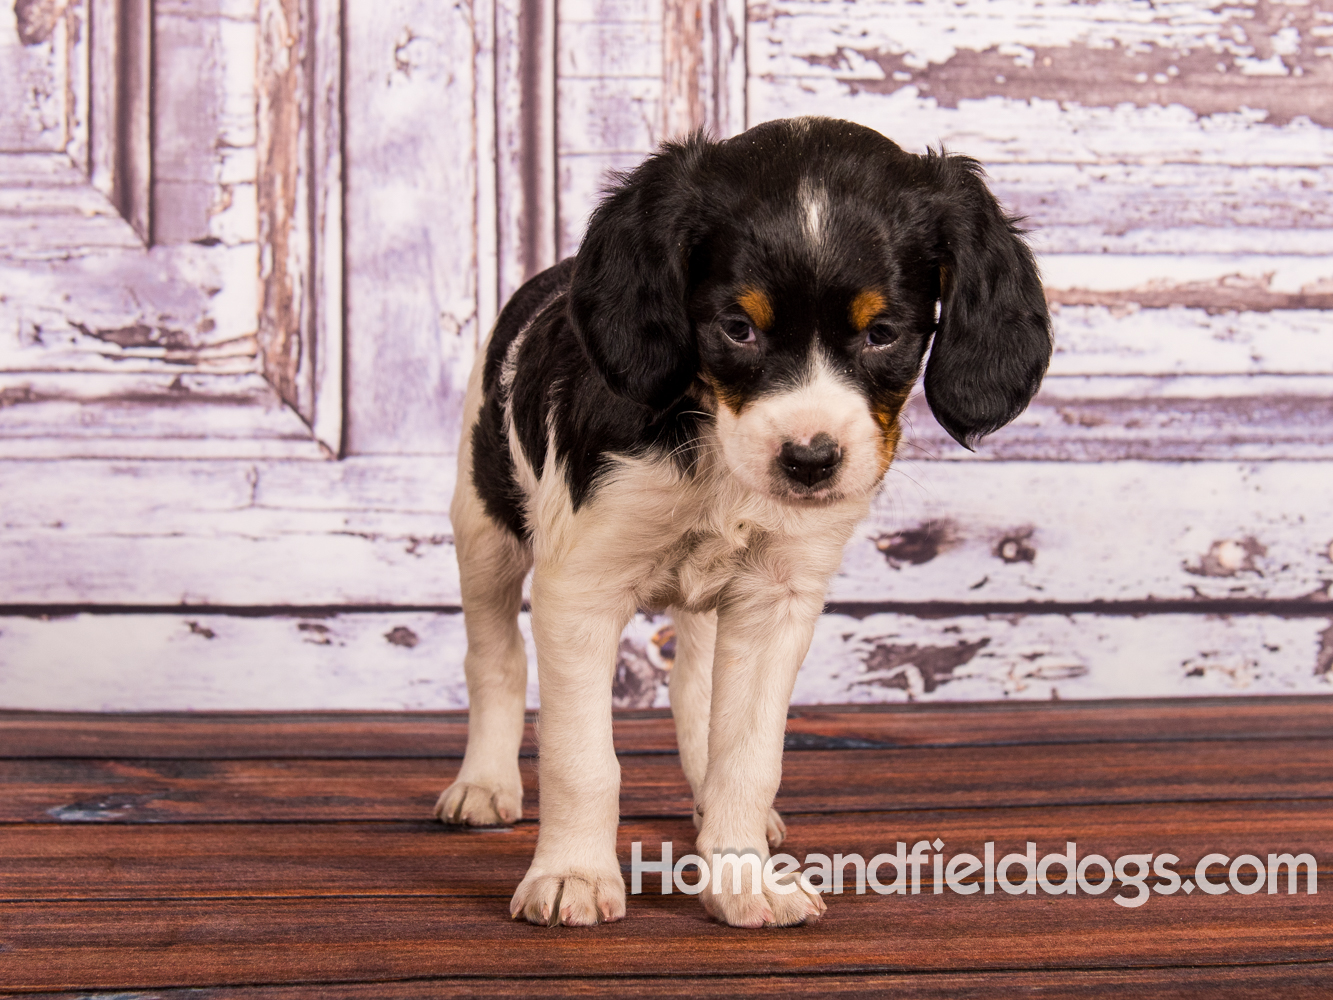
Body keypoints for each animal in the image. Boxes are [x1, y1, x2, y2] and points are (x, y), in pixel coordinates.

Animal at [431, 117, 1045, 933]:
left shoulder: (776, 598)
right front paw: (571, 875)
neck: (717, 450)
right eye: (735, 328)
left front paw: (740, 876)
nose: (810, 460)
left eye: (884, 333)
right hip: (485, 527)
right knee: (493, 657)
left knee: (694, 685)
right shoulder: (580, 591)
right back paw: (485, 783)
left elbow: (747, 754)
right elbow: (582, 758)